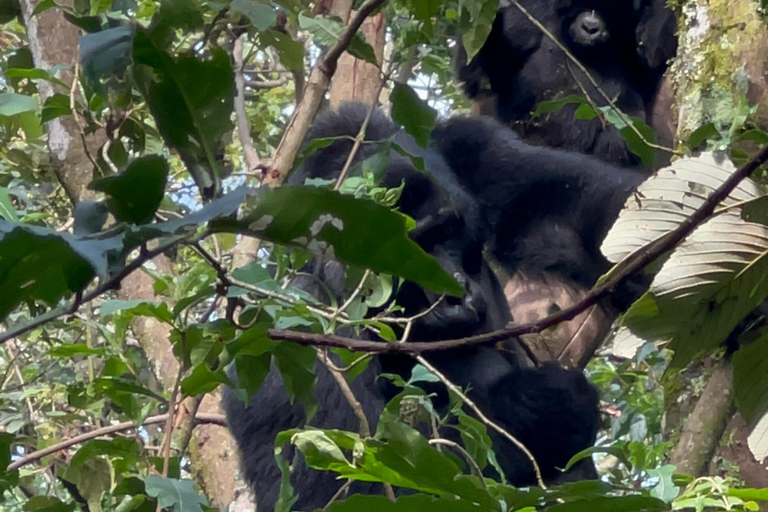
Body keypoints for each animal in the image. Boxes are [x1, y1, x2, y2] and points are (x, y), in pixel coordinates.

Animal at [222, 105, 600, 512]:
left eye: (449, 233)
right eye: (407, 252)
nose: (457, 294)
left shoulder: (471, 144)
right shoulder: (289, 339)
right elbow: (358, 489)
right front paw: (543, 409)